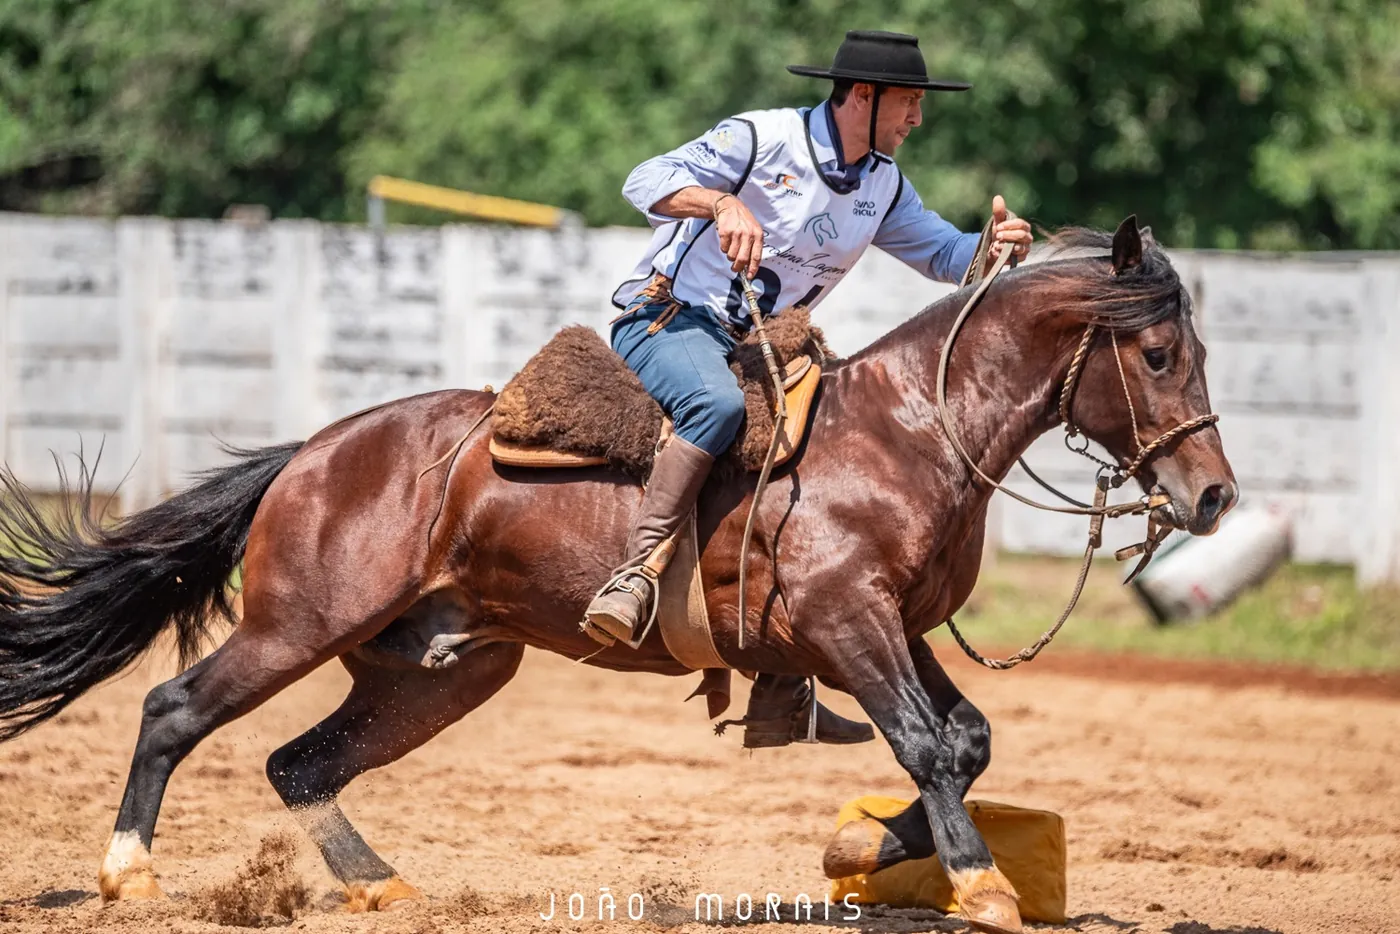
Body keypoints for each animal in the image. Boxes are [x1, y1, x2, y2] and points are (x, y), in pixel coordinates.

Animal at [0, 218, 1235, 933]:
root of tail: (313, 450)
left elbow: (964, 742)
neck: (903, 434)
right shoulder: (847, 620)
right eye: (1157, 354)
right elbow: (928, 748)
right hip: (297, 624)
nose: (1214, 497)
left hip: (444, 669)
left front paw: (866, 850)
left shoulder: (895, 628)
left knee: (299, 762)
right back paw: (129, 876)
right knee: (174, 709)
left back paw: (380, 885)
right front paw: (980, 885)